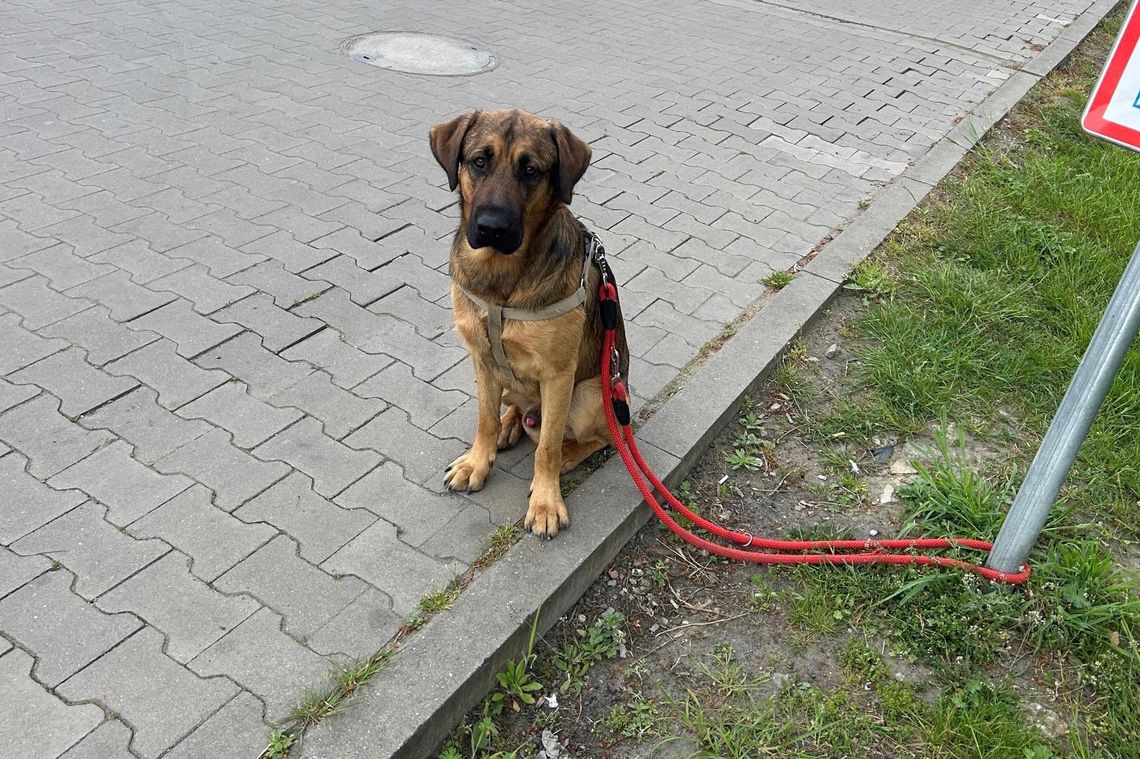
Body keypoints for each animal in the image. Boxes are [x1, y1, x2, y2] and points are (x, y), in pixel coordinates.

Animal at [430, 109, 633, 535]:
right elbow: (484, 419)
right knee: (511, 406)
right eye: (479, 161)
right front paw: (478, 460)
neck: (501, 279)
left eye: (530, 170)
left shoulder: (558, 375)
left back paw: (571, 451)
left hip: (591, 394)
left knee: (602, 436)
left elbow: (547, 447)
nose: (491, 227)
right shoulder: (480, 359)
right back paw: (510, 423)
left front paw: (545, 502)